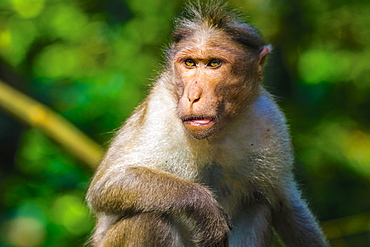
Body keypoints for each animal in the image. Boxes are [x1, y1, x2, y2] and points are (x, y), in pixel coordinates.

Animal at [86, 0, 326, 246]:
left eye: (214, 63)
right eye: (190, 63)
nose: (193, 96)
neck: (215, 135)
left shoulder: (270, 120)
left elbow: (285, 204)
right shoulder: (160, 109)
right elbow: (109, 183)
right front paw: (203, 206)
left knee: (260, 205)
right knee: (149, 218)